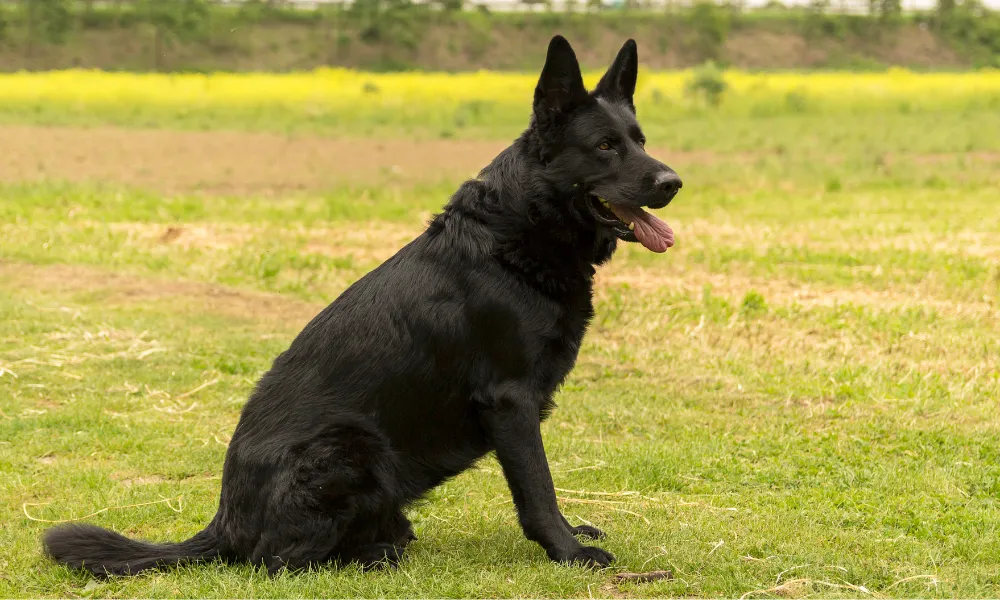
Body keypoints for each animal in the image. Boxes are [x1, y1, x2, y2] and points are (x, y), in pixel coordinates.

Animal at [39, 34, 680, 576]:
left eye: (640, 141)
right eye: (604, 147)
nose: (673, 182)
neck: (519, 234)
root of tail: (224, 523)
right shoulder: (510, 402)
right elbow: (538, 489)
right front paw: (568, 552)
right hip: (352, 445)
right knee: (275, 561)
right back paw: (372, 555)